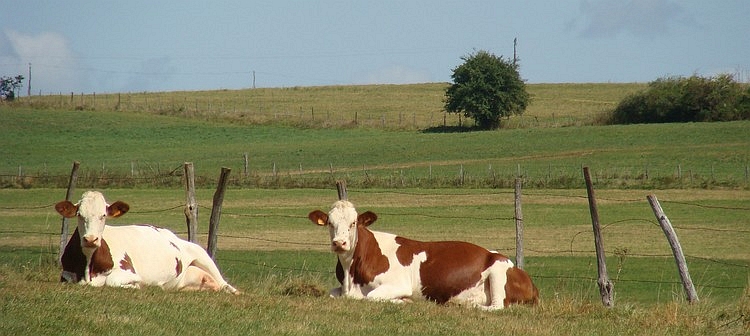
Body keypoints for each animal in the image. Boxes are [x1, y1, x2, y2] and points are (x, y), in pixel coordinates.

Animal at [55, 192, 238, 294]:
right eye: (79, 215)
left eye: (104, 215)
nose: (91, 239)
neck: (88, 267)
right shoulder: (66, 273)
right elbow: (68, 278)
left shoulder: (130, 272)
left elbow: (112, 281)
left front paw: (136, 287)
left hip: (202, 255)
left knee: (225, 285)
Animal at [308, 200, 536, 310]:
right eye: (329, 223)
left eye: (354, 222)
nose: (339, 243)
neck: (351, 276)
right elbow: (332, 294)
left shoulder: (399, 285)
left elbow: (371, 297)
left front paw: (403, 302)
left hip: (498, 270)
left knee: (497, 306)